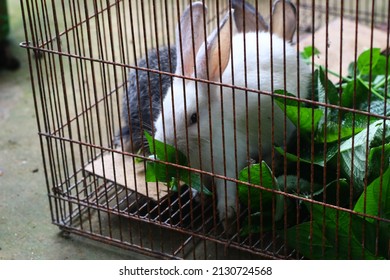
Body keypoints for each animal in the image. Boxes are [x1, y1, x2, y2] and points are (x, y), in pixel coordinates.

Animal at [153, 0, 310, 232]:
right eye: (162, 111)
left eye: (193, 118)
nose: (165, 146)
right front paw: (200, 197)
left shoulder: (226, 163)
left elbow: (226, 190)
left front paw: (227, 217)